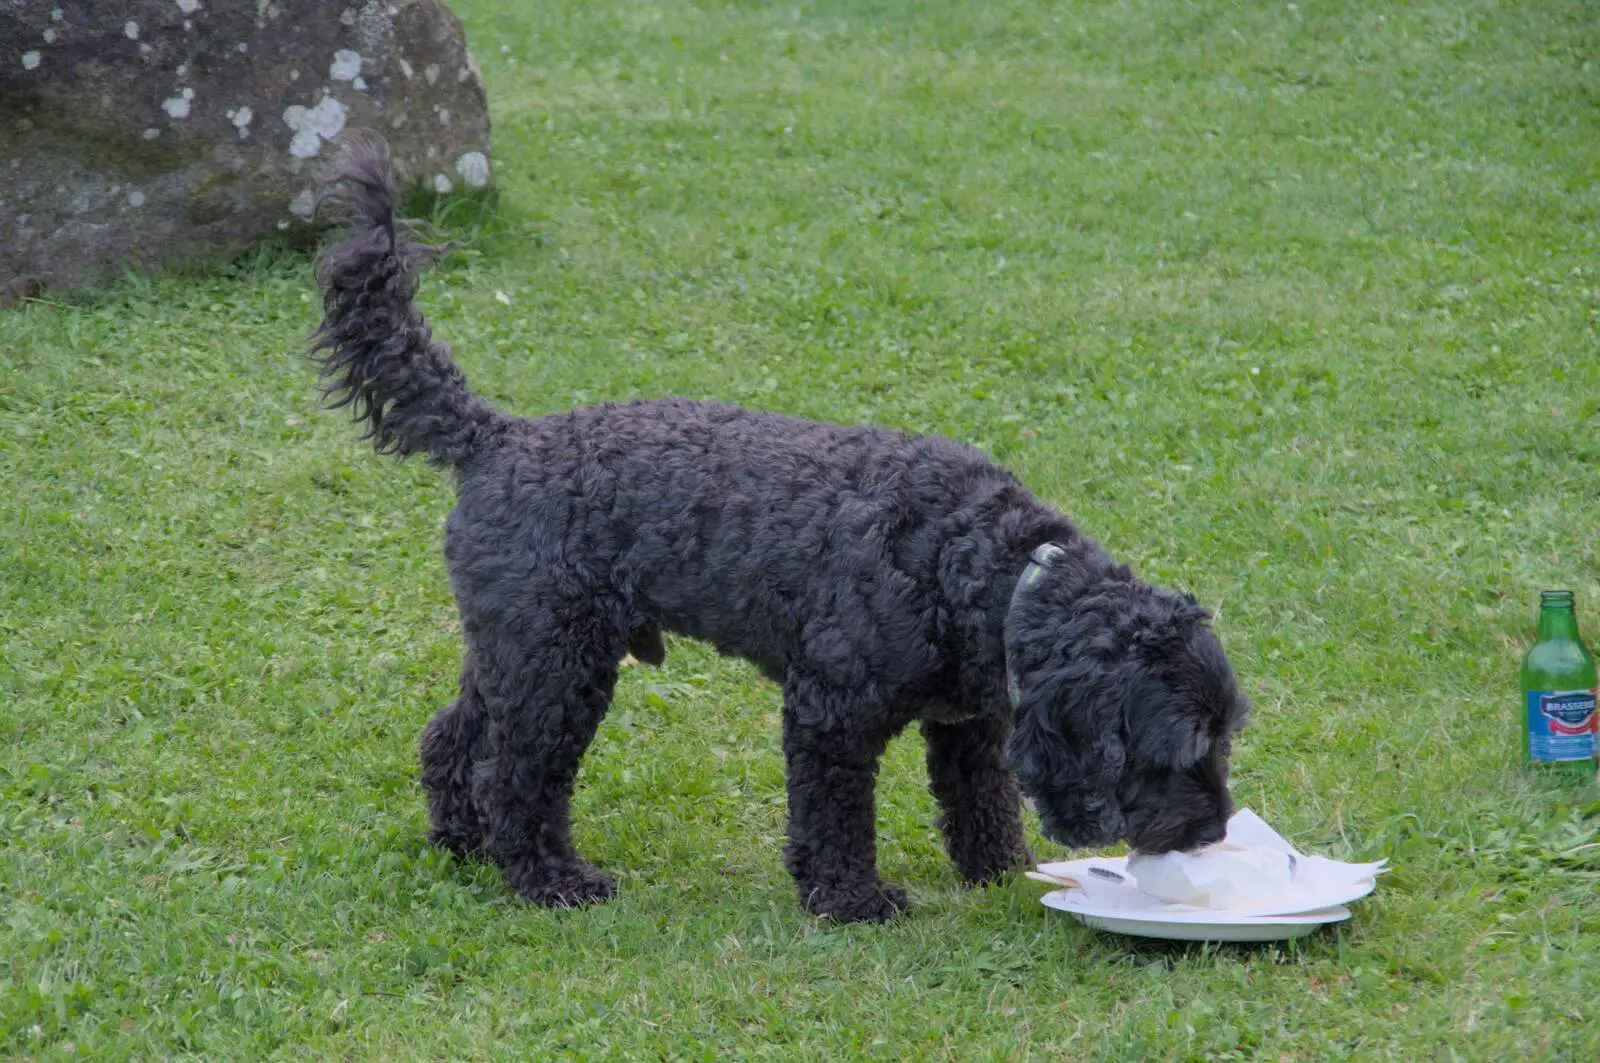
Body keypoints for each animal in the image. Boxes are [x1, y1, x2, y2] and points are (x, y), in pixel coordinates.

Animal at [308, 135, 1248, 922]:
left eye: (1227, 735)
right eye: (1181, 747)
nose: (1214, 832)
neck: (975, 564)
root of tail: (499, 436)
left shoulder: (970, 723)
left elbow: (979, 800)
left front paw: (994, 871)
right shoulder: (831, 711)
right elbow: (835, 816)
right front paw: (851, 897)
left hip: (518, 652)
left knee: (452, 739)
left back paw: (463, 844)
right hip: (557, 671)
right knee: (516, 777)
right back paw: (548, 878)